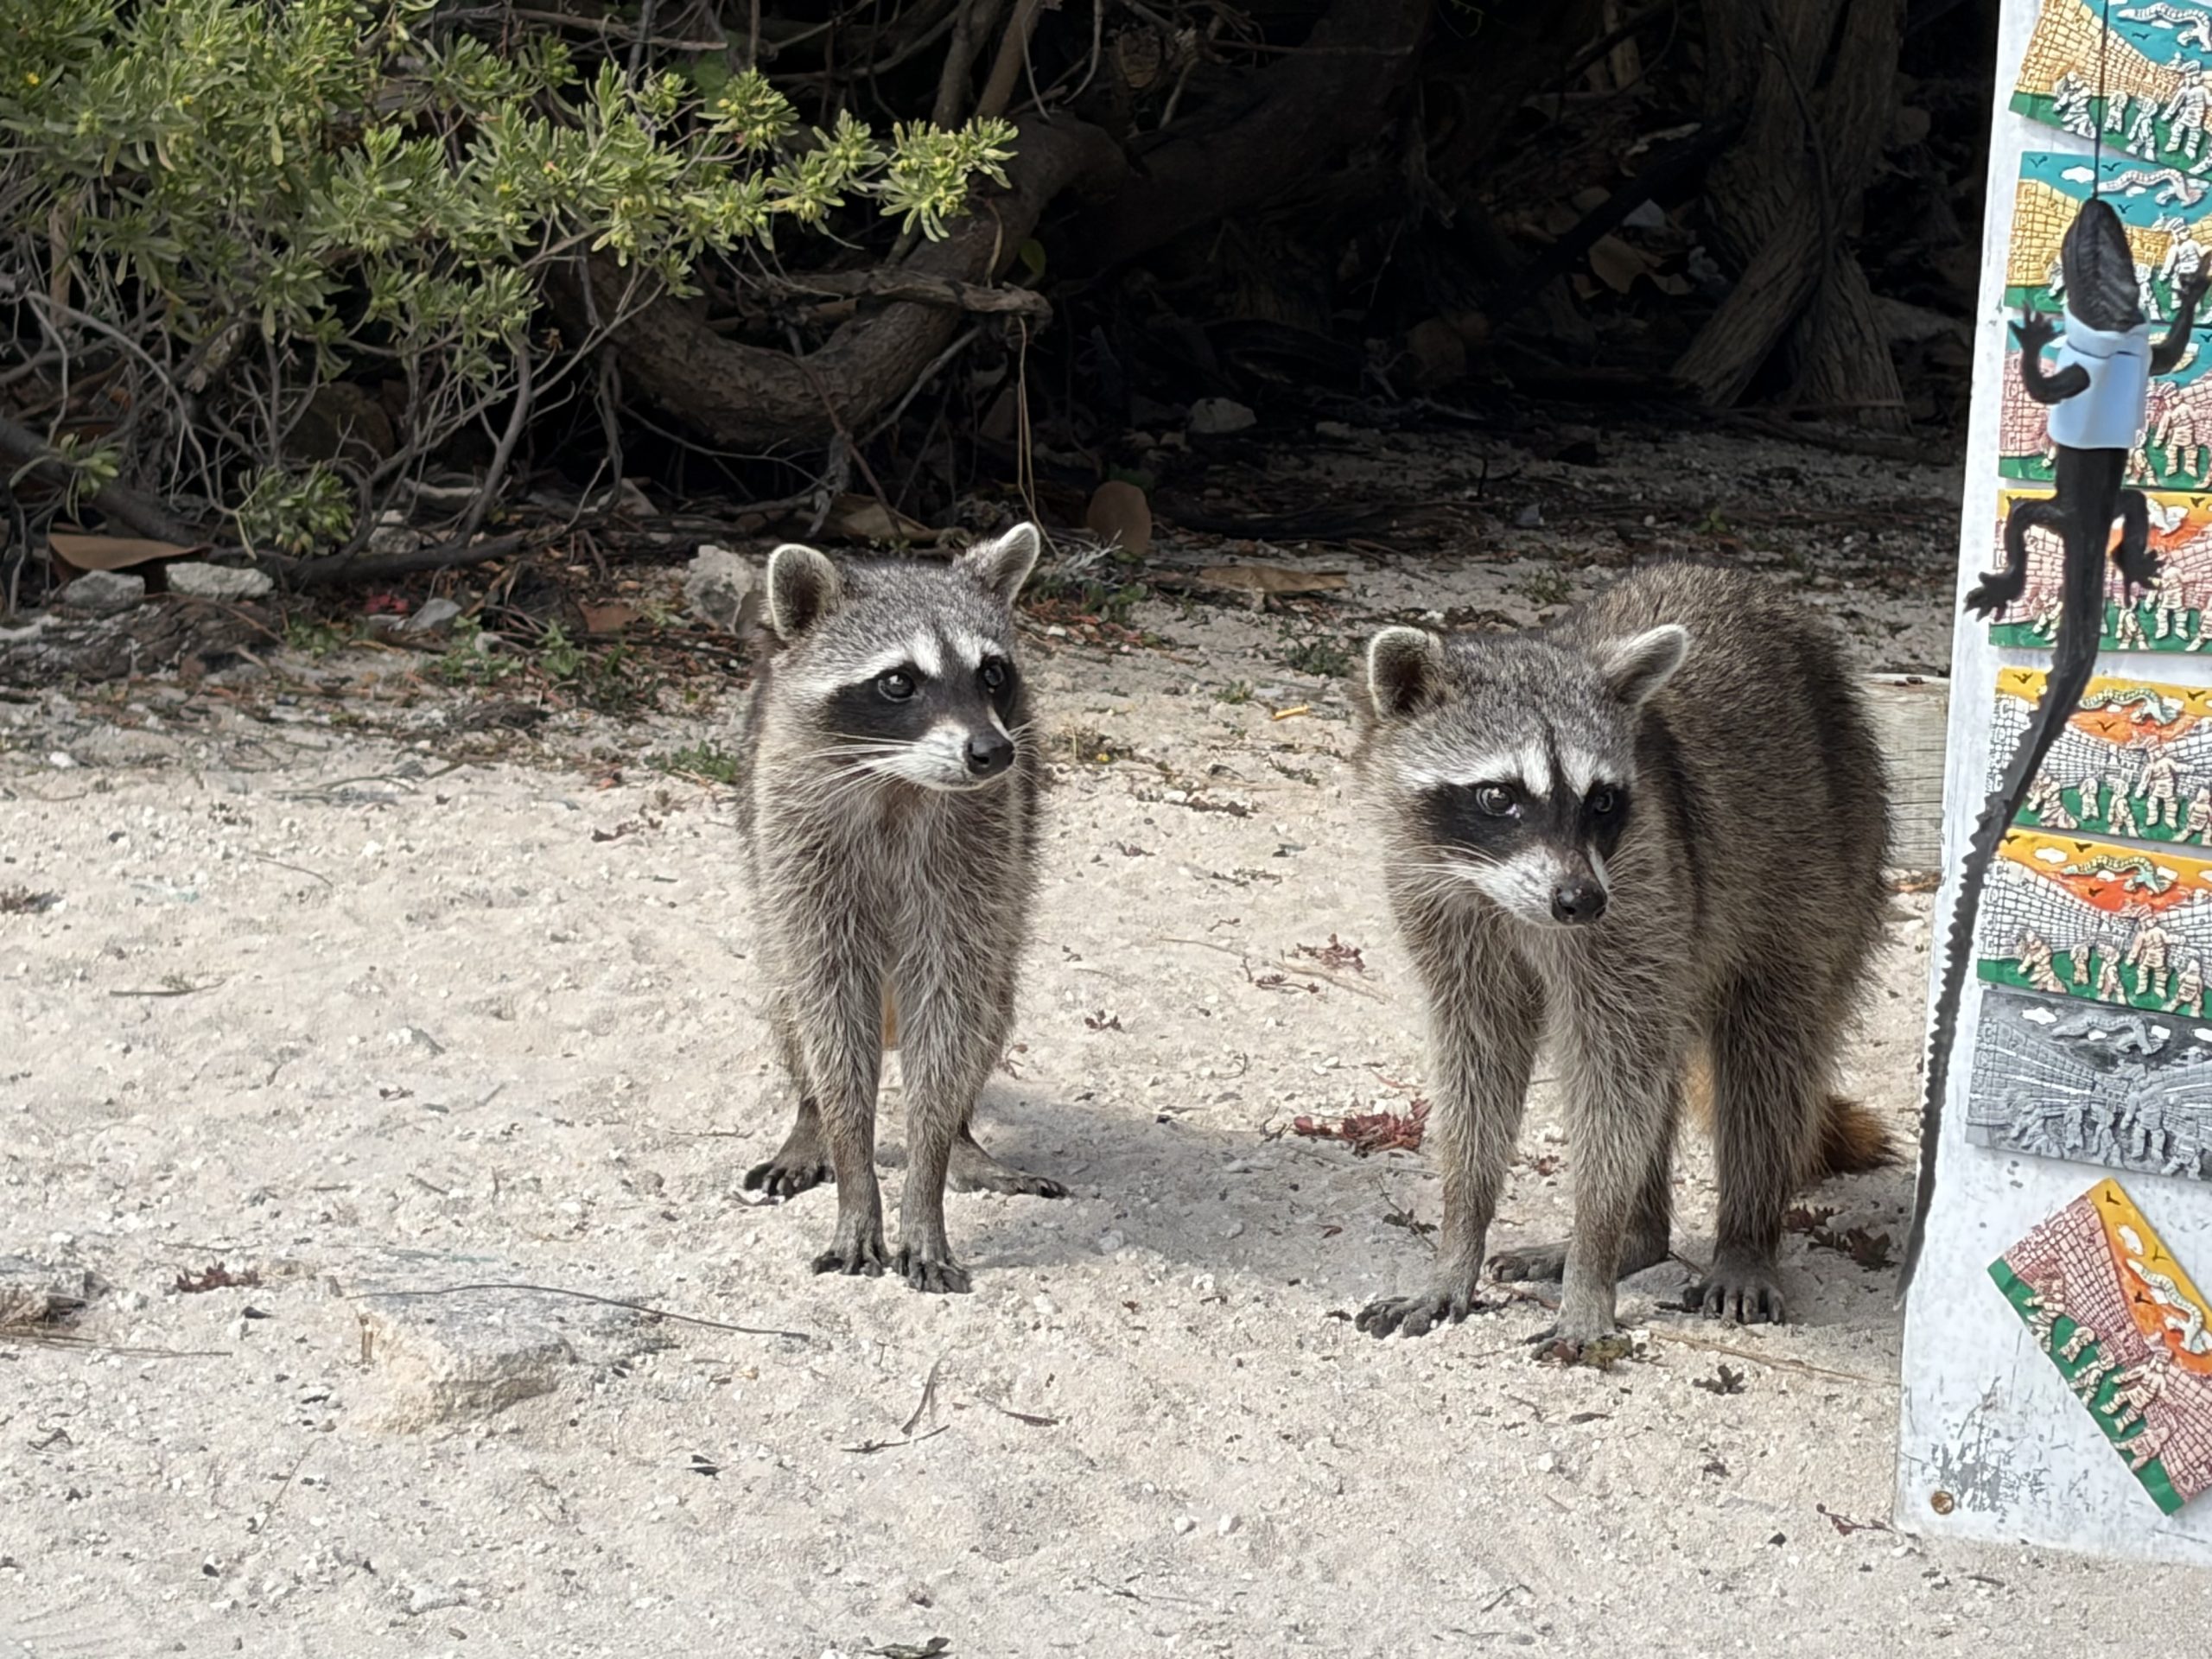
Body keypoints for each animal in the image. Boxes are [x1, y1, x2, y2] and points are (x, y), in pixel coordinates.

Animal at [734, 523, 1060, 1293]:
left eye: (992, 673)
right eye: (897, 682)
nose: (992, 751)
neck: (898, 780)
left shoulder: (979, 849)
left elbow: (949, 1012)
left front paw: (927, 1177)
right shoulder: (798, 839)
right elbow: (830, 1011)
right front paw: (855, 1175)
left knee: (987, 1006)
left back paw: (964, 1138)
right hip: (774, 892)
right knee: (790, 1002)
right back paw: (809, 1119)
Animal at [1348, 563, 1893, 1350]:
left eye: (1601, 801)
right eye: (1498, 797)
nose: (1579, 901)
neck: (1505, 893)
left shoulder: (1638, 890)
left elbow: (1614, 1075)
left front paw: (1595, 1251)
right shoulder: (1442, 904)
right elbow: (1479, 1061)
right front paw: (1460, 1238)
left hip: (1831, 857)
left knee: (1766, 1053)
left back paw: (1743, 1236)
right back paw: (1646, 1234)